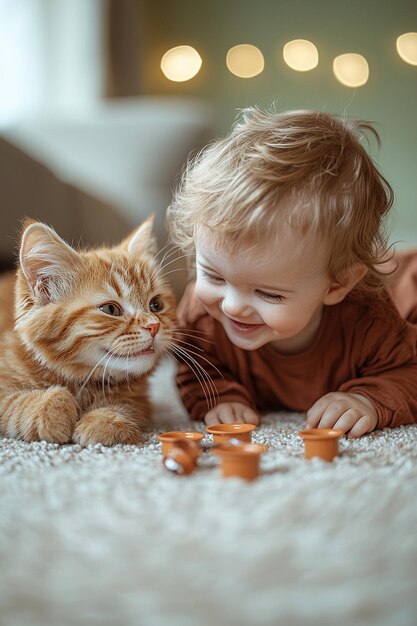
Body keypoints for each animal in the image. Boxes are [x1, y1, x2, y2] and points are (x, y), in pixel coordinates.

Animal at [0, 217, 176, 446]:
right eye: (110, 309)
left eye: (156, 305)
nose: (154, 325)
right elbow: (12, 402)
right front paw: (51, 409)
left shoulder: (139, 399)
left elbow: (127, 405)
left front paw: (105, 420)